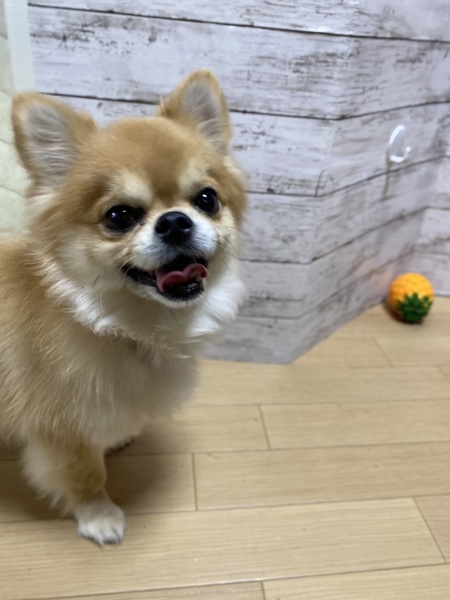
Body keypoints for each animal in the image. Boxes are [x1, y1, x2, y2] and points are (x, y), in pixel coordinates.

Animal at [0, 70, 246, 544]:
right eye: (119, 216)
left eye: (207, 199)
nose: (175, 221)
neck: (119, 325)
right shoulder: (61, 429)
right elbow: (84, 473)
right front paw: (98, 516)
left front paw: (116, 439)